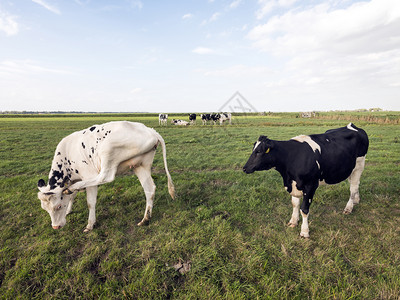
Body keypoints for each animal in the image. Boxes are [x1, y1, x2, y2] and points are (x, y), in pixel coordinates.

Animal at [37, 122, 175, 232]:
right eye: (45, 209)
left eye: (58, 206)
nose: (56, 227)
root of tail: (151, 130)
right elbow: (72, 196)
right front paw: (69, 209)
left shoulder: (88, 175)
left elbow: (90, 202)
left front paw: (90, 224)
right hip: (140, 165)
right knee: (149, 189)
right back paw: (145, 219)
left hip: (108, 149)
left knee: (105, 177)